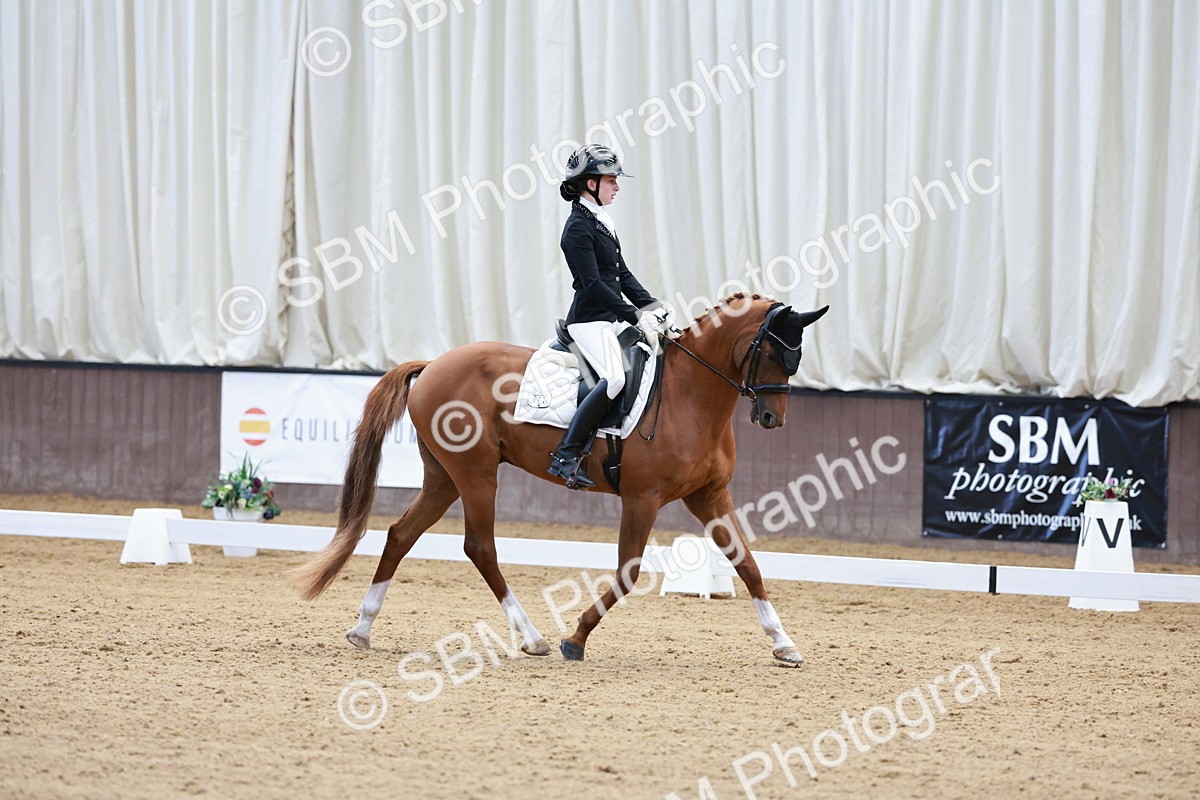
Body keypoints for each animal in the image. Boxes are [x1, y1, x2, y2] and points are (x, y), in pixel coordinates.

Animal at [291, 293, 829, 664]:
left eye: (796, 358)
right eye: (774, 354)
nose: (771, 419)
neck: (689, 395)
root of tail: (433, 364)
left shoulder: (707, 495)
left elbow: (748, 564)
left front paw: (784, 643)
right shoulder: (642, 498)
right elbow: (628, 571)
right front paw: (576, 638)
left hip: (443, 477)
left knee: (402, 534)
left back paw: (363, 628)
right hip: (475, 473)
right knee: (479, 546)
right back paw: (533, 638)